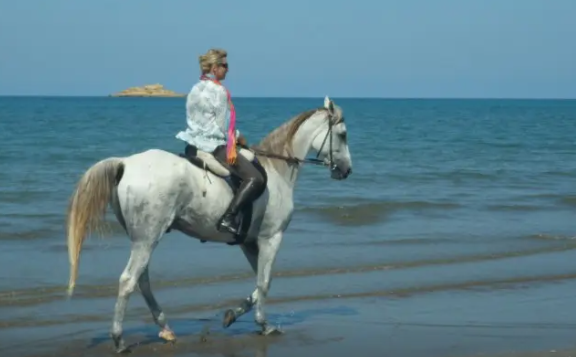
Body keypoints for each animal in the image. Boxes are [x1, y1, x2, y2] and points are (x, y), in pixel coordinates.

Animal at [65, 95, 354, 354]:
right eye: (343, 135)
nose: (347, 170)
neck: (277, 171)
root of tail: (125, 163)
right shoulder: (271, 238)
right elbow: (264, 282)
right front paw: (264, 325)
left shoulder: (249, 242)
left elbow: (260, 281)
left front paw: (232, 315)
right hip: (147, 238)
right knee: (128, 280)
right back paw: (119, 340)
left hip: (142, 238)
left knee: (141, 280)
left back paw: (166, 329)